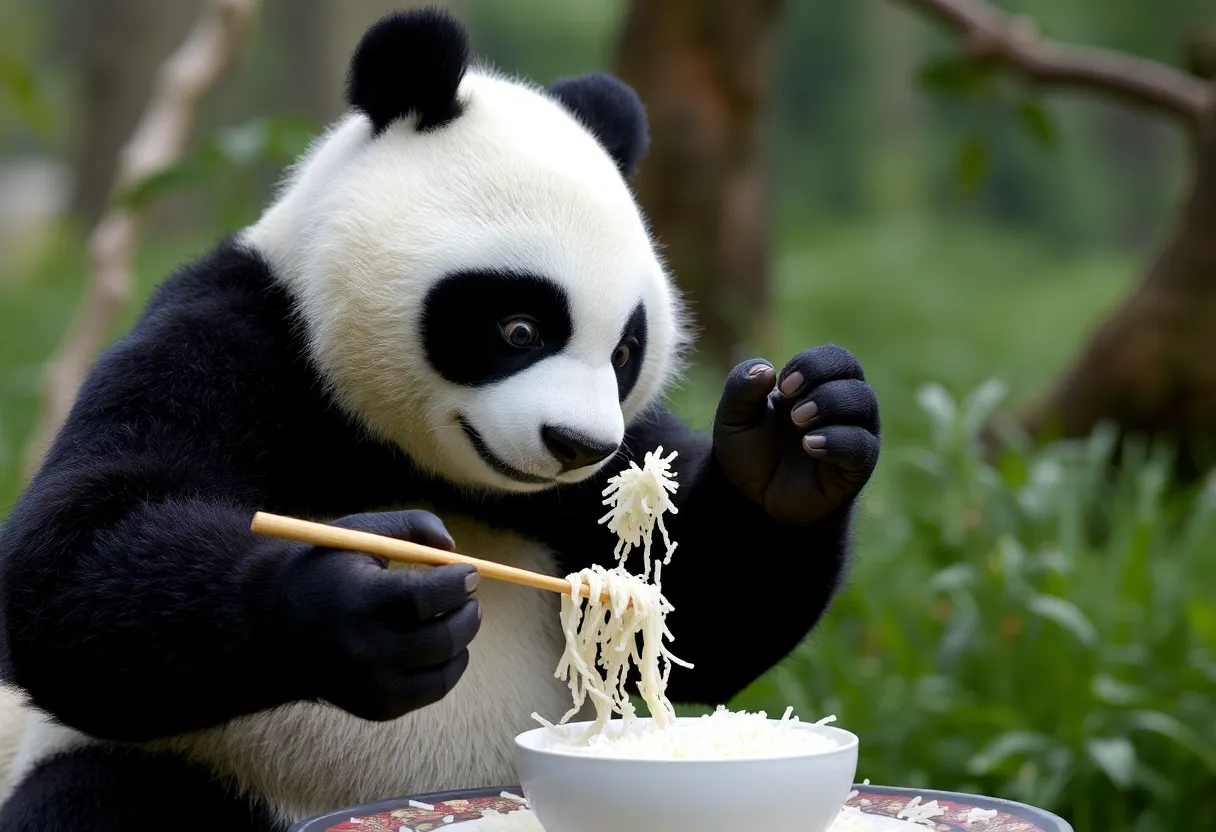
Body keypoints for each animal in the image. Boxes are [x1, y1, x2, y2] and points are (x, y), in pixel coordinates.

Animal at [0, 7, 880, 831]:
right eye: (520, 329)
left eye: (627, 350)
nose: (576, 445)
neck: (407, 454)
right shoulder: (239, 340)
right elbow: (69, 560)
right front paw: (358, 599)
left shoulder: (613, 458)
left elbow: (709, 615)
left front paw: (789, 445)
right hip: (202, 768)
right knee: (101, 796)